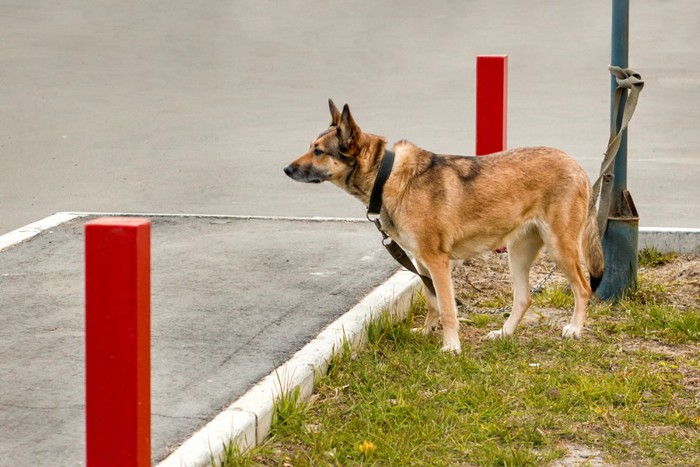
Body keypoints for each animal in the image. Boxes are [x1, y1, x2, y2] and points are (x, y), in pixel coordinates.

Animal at [282, 99, 604, 354]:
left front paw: (451, 346)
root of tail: (577, 166)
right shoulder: (421, 263)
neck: (386, 176)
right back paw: (504, 333)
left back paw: (575, 329)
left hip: (560, 249)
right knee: (524, 298)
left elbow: (448, 308)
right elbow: (432, 302)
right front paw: (426, 332)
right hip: (518, 254)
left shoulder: (438, 263)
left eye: (319, 151)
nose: (286, 169)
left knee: (583, 287)